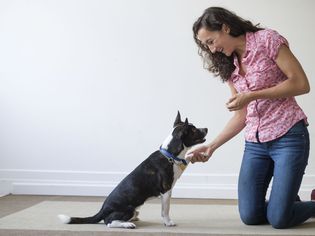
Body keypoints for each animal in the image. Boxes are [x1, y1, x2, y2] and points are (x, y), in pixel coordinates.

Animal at [58, 112, 209, 229]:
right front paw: (168, 222)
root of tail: (102, 209)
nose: (206, 128)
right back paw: (127, 224)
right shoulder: (166, 191)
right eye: (194, 130)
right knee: (109, 222)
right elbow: (165, 210)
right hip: (129, 209)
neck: (169, 155)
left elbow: (186, 158)